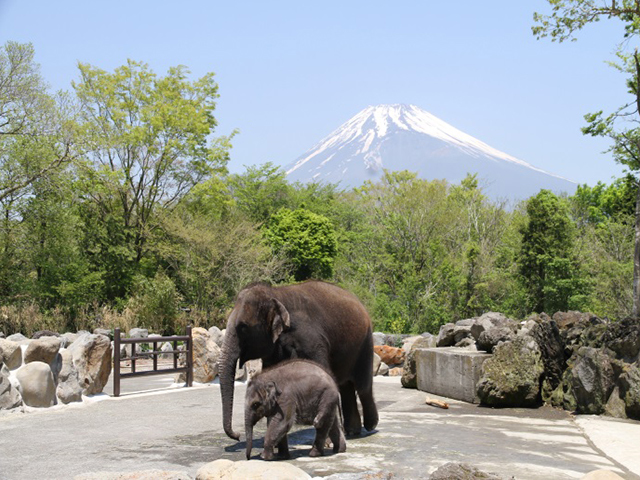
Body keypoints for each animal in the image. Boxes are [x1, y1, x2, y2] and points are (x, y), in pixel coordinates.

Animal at [220, 280, 380, 440]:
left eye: (243, 327)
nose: (237, 435)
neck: (276, 294)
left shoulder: (313, 341)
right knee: (345, 385)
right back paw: (352, 432)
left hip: (365, 342)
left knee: (362, 386)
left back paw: (371, 425)